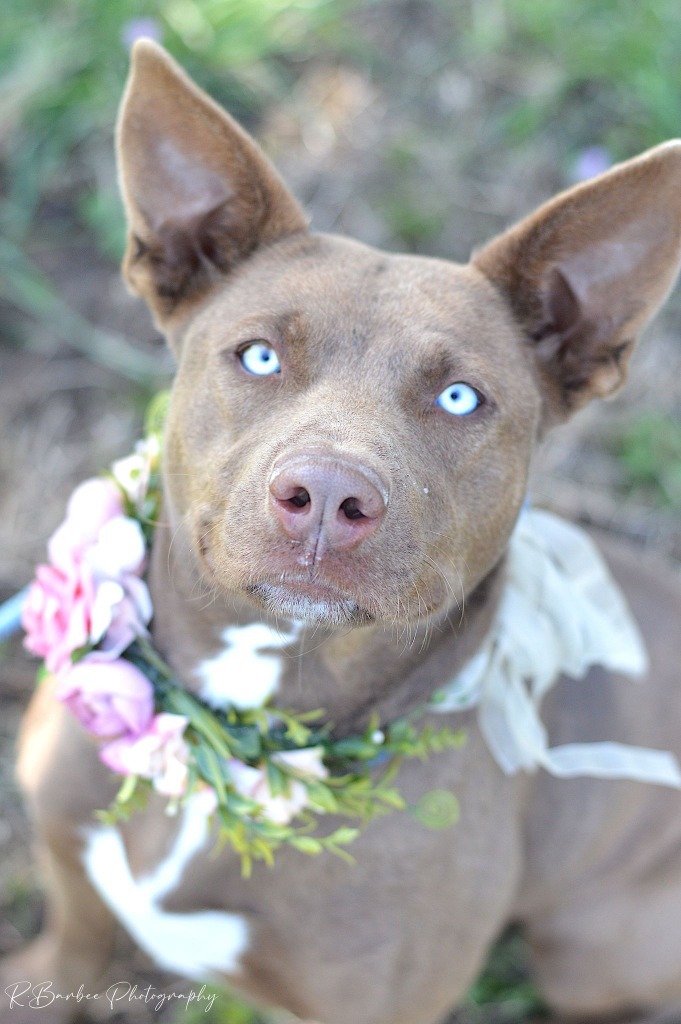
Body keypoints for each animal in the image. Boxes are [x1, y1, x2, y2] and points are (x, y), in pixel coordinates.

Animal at [1, 39, 679, 1024]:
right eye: (258, 355)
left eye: (459, 396)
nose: (326, 495)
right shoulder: (69, 864)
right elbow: (69, 952)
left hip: (590, 951)